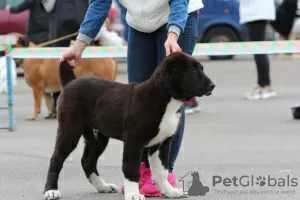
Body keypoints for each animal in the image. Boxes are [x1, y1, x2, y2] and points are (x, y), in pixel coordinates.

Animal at [43, 52, 214, 200]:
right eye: (193, 70)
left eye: (201, 69)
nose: (212, 85)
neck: (164, 97)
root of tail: (71, 82)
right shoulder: (134, 141)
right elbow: (131, 169)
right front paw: (133, 194)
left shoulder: (163, 142)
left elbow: (162, 170)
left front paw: (168, 191)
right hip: (70, 129)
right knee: (56, 159)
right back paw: (51, 190)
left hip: (98, 138)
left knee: (88, 161)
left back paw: (103, 186)